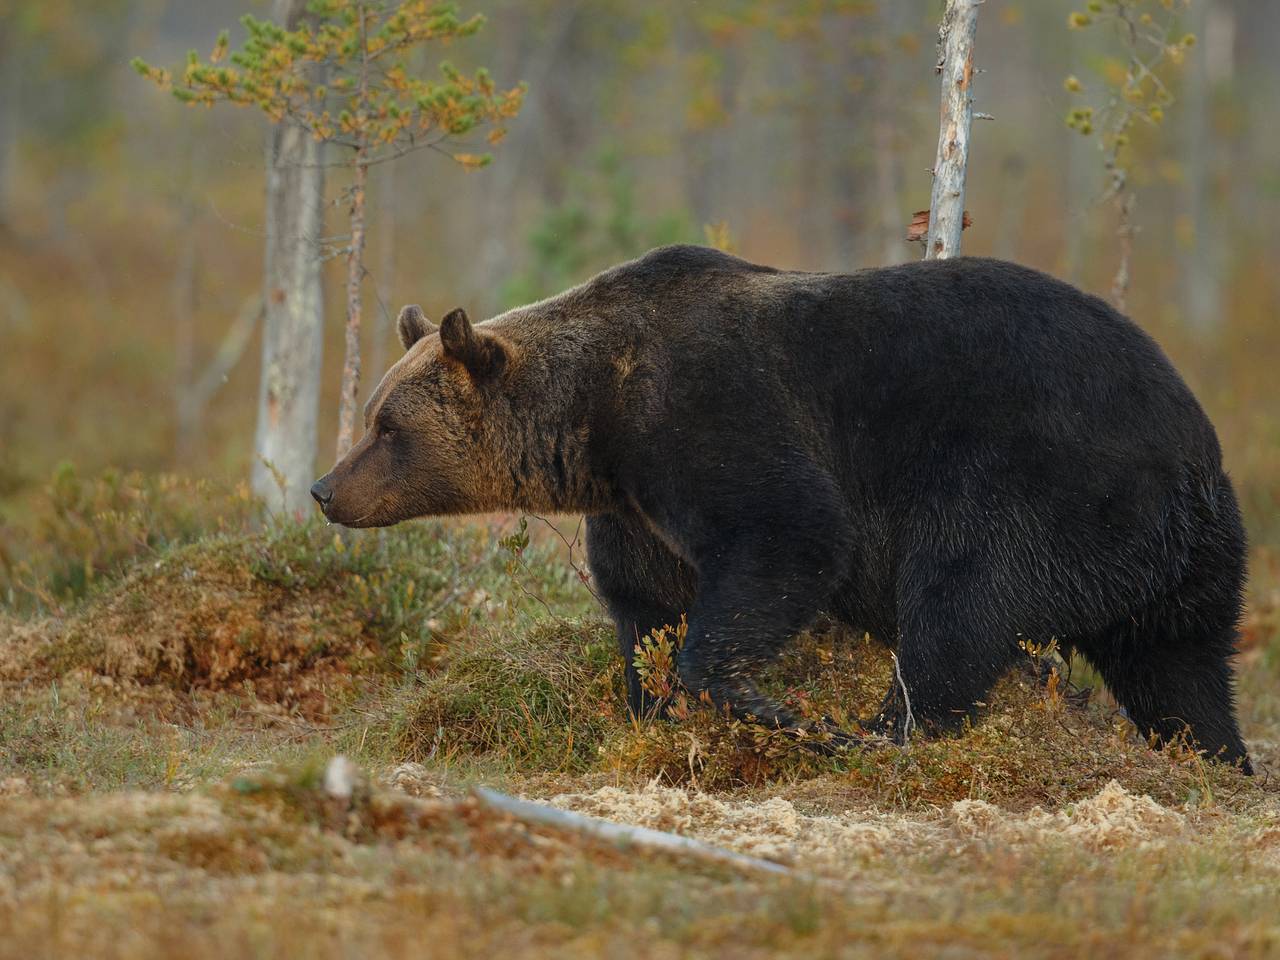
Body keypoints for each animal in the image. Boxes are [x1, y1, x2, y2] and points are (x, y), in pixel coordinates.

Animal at [311, 244, 1252, 772]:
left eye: (387, 425)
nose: (324, 489)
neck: (596, 420)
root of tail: (1194, 453)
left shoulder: (712, 416)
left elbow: (788, 537)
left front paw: (770, 709)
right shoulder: (636, 509)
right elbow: (644, 609)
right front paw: (653, 709)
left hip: (1038, 481)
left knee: (960, 603)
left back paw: (882, 733)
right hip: (1180, 560)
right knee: (1181, 668)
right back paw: (1218, 762)